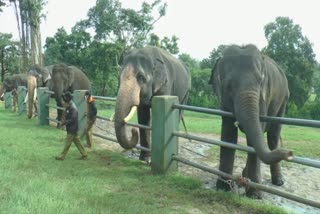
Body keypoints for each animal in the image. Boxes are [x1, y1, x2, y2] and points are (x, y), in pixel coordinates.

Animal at [209, 44, 294, 199]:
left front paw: (254, 196)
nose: (290, 153)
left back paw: (278, 182)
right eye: (228, 86)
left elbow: (254, 136)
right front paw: (223, 189)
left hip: (284, 99)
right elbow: (228, 135)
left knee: (273, 136)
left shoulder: (265, 95)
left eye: (261, 82)